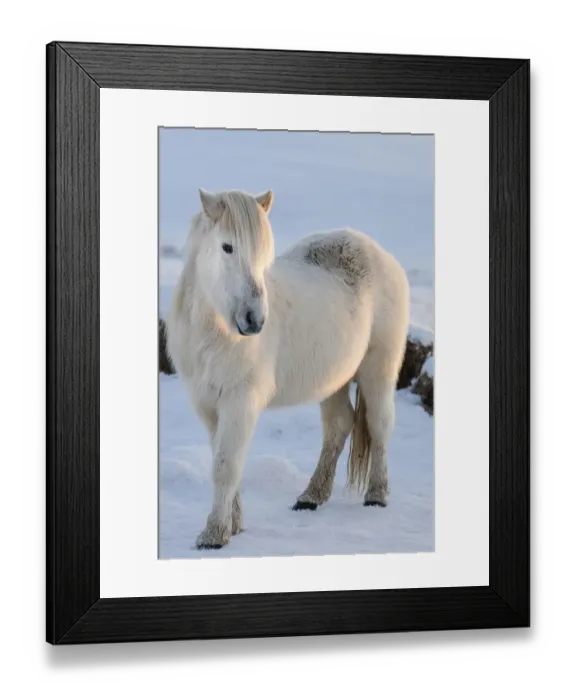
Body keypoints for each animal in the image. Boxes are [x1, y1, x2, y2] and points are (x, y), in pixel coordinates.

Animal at [166, 188, 410, 549]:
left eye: (263, 252)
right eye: (227, 247)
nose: (254, 321)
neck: (215, 331)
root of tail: (380, 254)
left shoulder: (240, 402)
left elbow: (227, 465)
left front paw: (214, 535)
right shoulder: (209, 405)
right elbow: (222, 461)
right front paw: (234, 526)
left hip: (378, 369)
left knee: (379, 424)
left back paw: (377, 496)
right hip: (334, 380)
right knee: (339, 425)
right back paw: (311, 497)